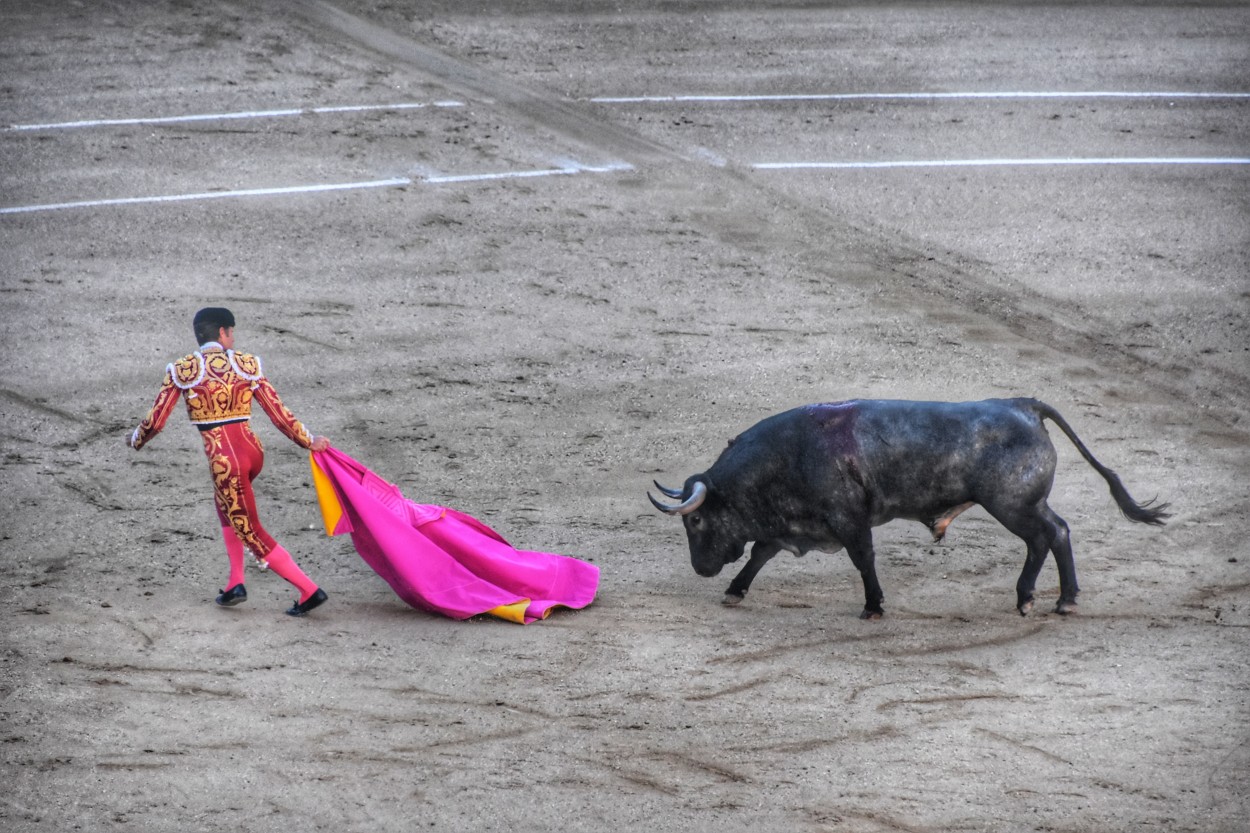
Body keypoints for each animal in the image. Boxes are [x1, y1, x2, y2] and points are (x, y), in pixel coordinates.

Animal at [650, 395, 1165, 615]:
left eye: (696, 521)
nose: (700, 569)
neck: (787, 456)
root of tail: (1024, 405)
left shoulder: (849, 521)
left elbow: (863, 560)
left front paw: (873, 606)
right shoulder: (790, 526)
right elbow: (759, 554)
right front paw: (735, 590)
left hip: (1013, 505)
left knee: (1049, 535)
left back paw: (1044, 599)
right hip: (1023, 505)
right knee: (1054, 534)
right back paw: (1053, 597)